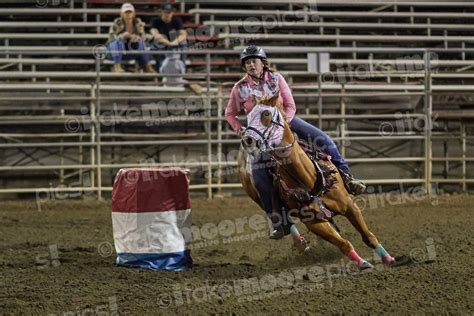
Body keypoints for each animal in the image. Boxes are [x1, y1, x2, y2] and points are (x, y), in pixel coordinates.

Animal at [237, 94, 396, 270]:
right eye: (248, 117)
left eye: (266, 114)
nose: (247, 140)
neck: (310, 179)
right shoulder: (313, 222)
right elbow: (343, 244)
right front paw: (362, 263)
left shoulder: (349, 205)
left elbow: (368, 236)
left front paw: (389, 259)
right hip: (261, 200)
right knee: (282, 219)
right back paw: (298, 242)